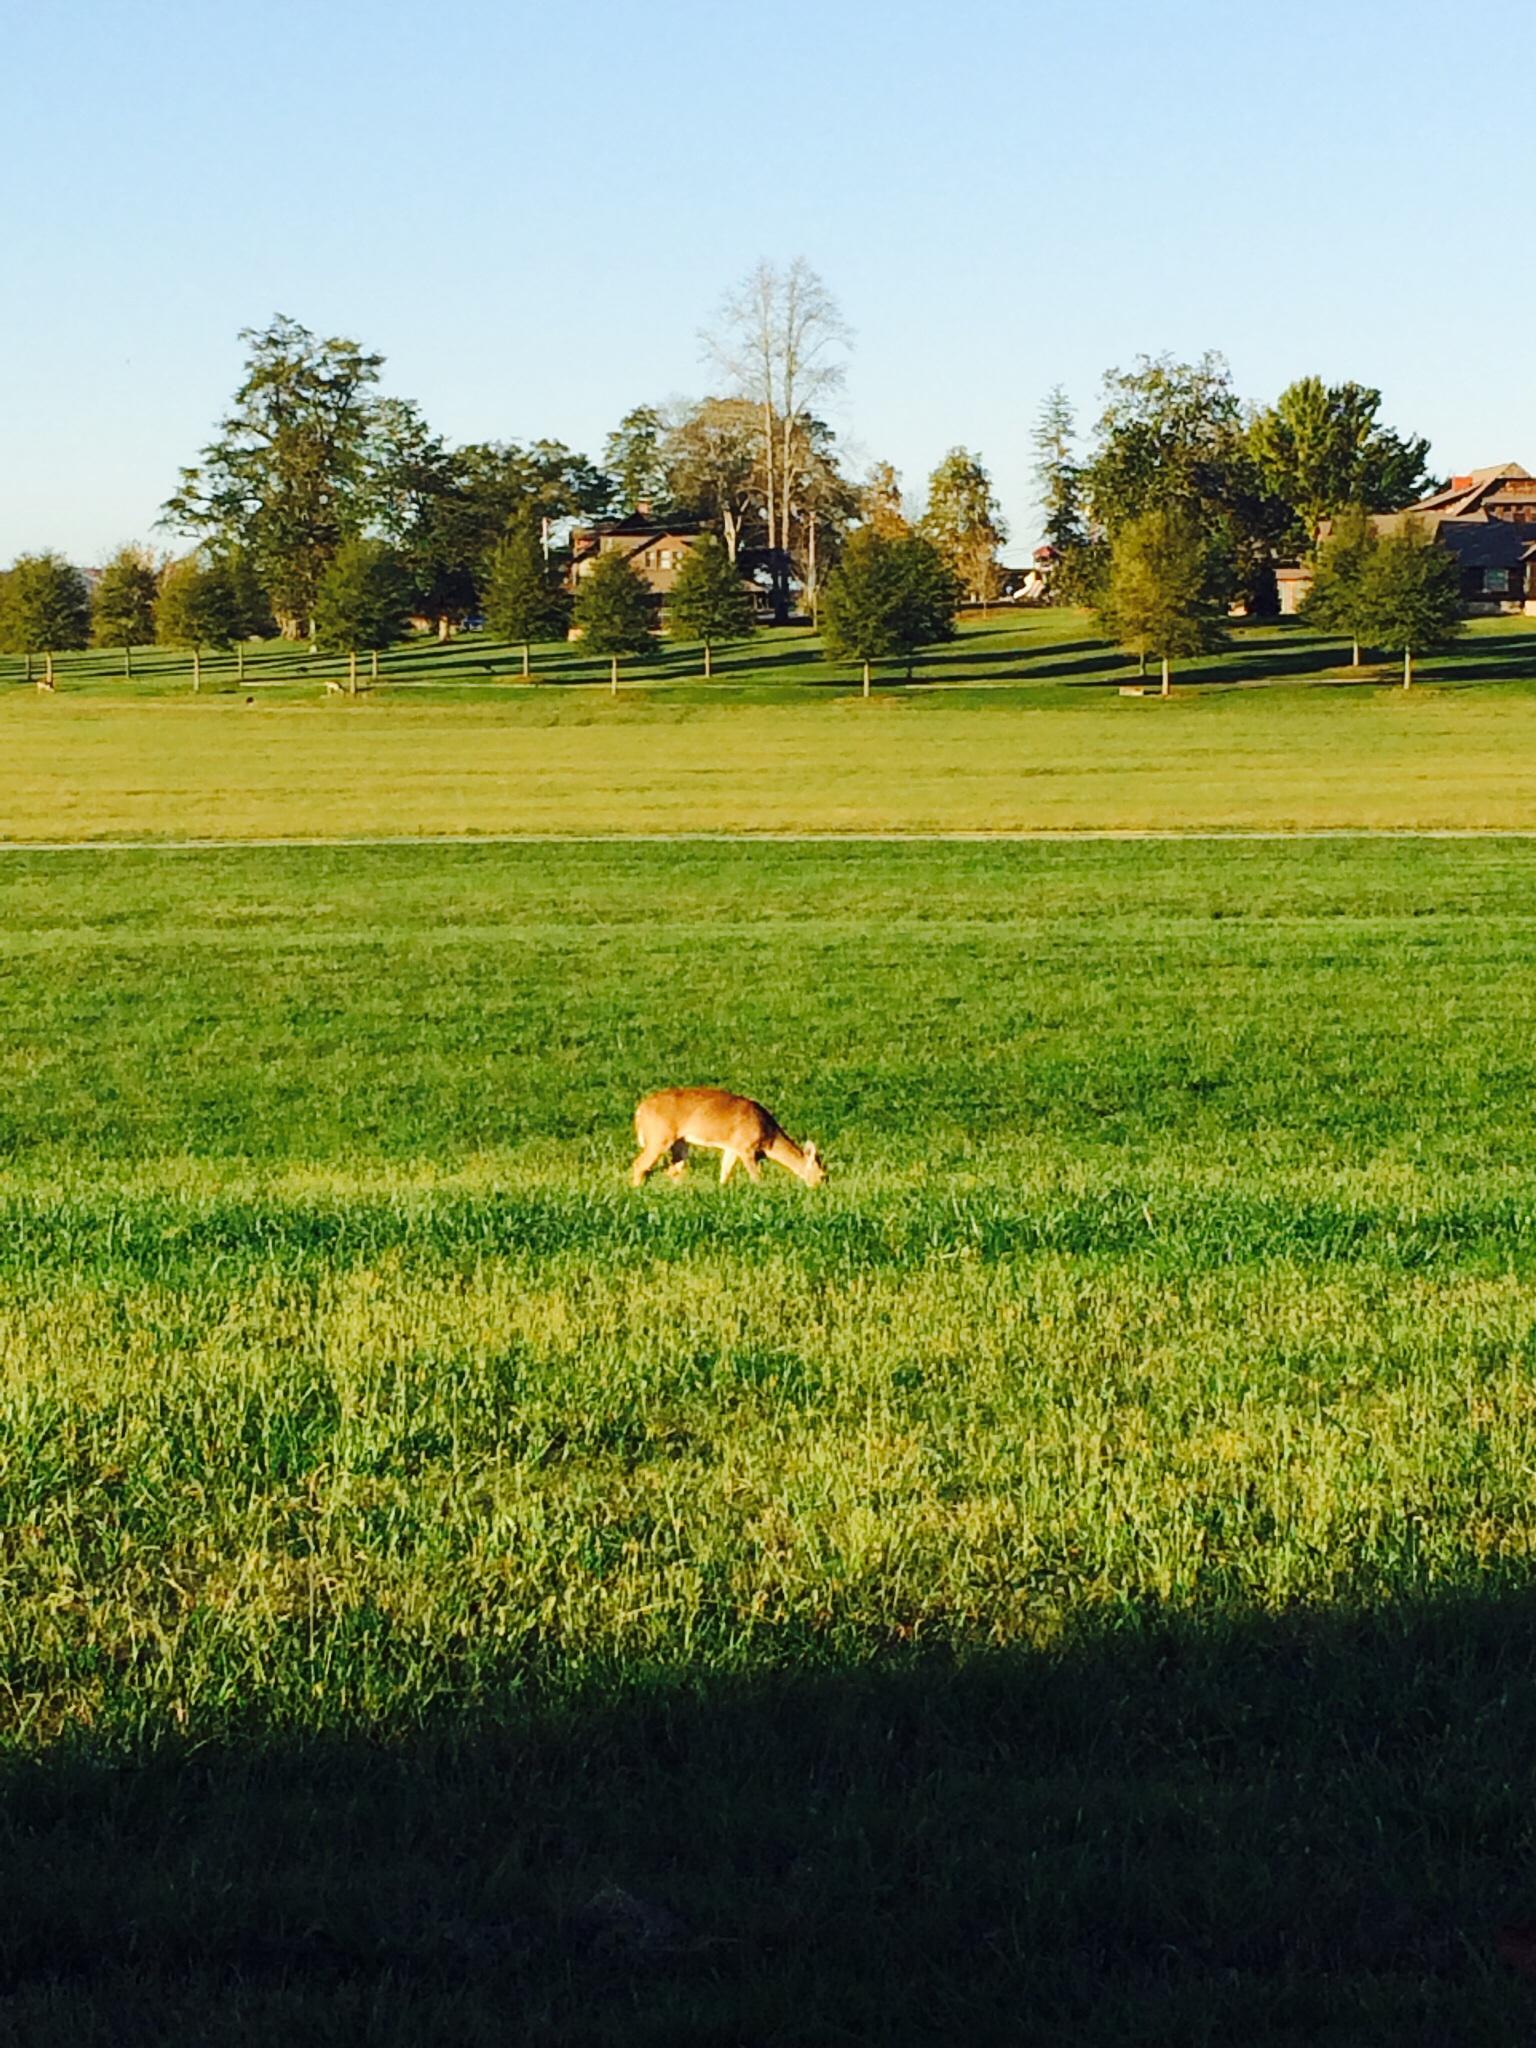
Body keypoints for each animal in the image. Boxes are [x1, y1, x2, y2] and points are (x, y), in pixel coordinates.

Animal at [630, 1087, 826, 1189]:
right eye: (823, 1175)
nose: (821, 1188)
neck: (768, 1136)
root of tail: (640, 1109)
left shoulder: (732, 1147)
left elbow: (725, 1171)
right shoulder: (746, 1147)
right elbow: (756, 1175)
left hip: (680, 1143)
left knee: (673, 1168)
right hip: (659, 1137)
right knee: (639, 1164)